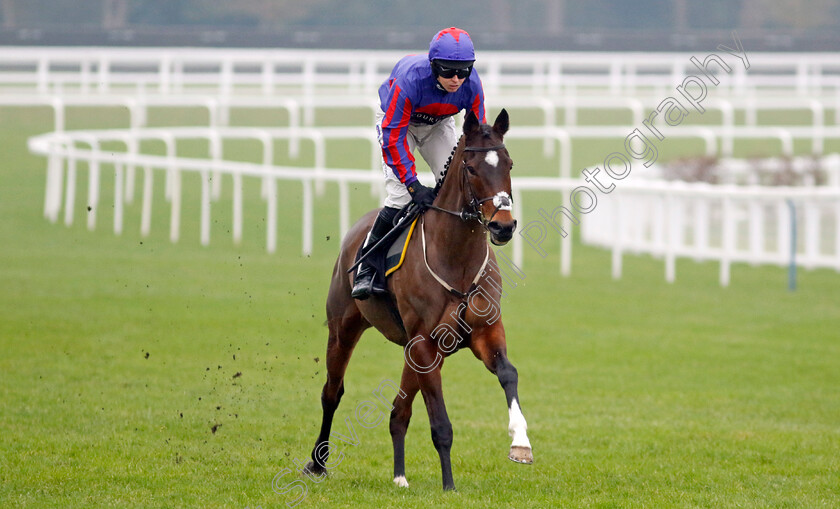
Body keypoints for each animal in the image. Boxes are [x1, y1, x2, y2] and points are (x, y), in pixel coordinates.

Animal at [306, 110, 532, 488]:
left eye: (509, 164)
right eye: (472, 168)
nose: (503, 226)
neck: (456, 259)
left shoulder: (481, 332)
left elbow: (508, 373)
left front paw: (521, 443)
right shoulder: (424, 342)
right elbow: (441, 423)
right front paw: (449, 485)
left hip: (417, 354)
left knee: (399, 411)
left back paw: (399, 476)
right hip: (344, 329)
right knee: (331, 393)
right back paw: (317, 463)